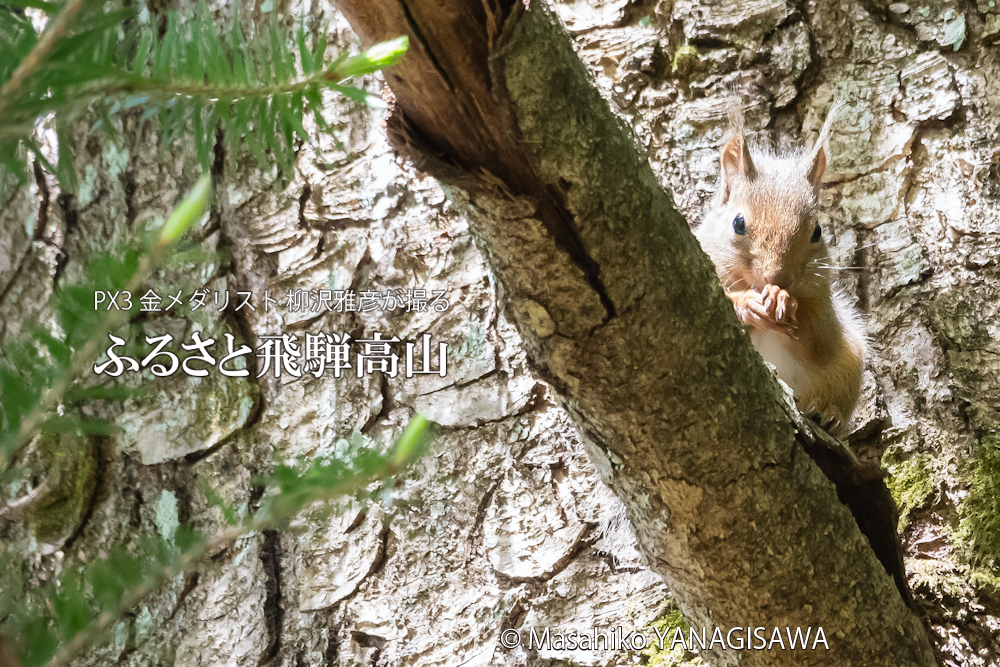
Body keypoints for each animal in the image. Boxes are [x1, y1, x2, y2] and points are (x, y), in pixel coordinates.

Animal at [696, 98, 868, 434]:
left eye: (817, 232)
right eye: (738, 223)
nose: (777, 278)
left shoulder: (825, 310)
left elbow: (819, 339)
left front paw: (785, 302)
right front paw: (747, 304)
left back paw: (827, 415)